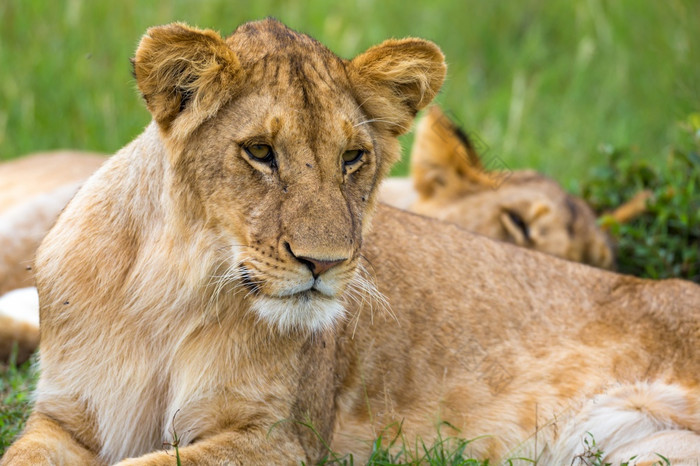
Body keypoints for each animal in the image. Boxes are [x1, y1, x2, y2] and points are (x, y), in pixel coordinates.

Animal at [5, 16, 700, 464]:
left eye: (353, 158)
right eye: (260, 153)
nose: (325, 262)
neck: (168, 289)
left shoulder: (279, 439)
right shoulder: (64, 417)